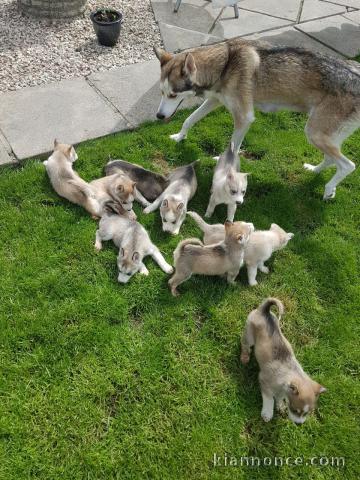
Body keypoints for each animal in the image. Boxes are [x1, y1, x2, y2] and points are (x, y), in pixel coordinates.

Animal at [155, 38, 360, 201]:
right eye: (162, 92)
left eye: (173, 95)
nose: (159, 116)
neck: (225, 64)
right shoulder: (214, 100)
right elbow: (189, 119)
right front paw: (179, 137)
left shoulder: (244, 118)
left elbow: (233, 146)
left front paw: (226, 164)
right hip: (324, 135)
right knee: (331, 159)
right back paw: (314, 171)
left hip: (314, 133)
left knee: (348, 165)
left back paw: (328, 188)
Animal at [239, 298, 326, 426]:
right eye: (295, 410)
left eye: (307, 413)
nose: (299, 424)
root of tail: (264, 311)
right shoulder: (264, 381)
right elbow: (269, 399)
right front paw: (267, 414)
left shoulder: (282, 390)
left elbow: (279, 397)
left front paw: (280, 406)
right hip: (249, 334)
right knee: (245, 345)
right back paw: (244, 358)